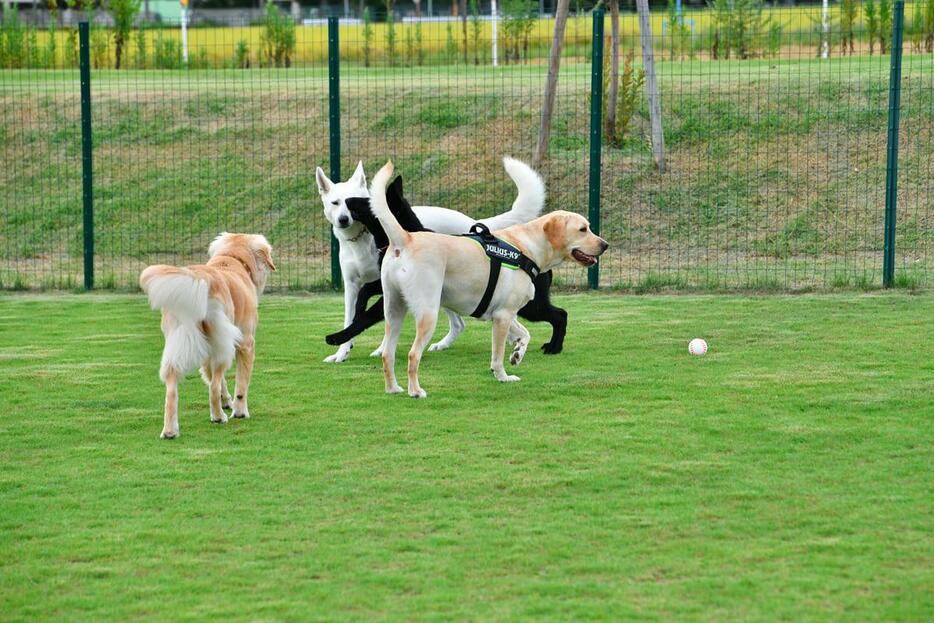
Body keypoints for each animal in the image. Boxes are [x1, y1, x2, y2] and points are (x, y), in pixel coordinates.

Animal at [139, 233, 276, 438]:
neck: (232, 259)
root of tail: (200, 278)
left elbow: (218, 380)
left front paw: (227, 401)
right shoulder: (246, 343)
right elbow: (240, 385)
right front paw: (239, 411)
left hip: (182, 343)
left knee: (172, 390)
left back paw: (170, 431)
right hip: (221, 345)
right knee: (213, 387)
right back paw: (218, 417)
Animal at [320, 157, 552, 366]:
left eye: (366, 200)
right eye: (336, 202)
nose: (347, 207)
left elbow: (364, 318)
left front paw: (339, 337)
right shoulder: (362, 284)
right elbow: (359, 303)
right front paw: (343, 348)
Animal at [370, 162, 612, 400]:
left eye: (588, 227)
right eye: (583, 229)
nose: (605, 245)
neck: (527, 246)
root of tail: (405, 238)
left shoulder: (504, 312)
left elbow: (525, 334)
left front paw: (517, 354)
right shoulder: (503, 316)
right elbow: (497, 355)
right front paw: (503, 376)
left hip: (394, 311)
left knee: (388, 354)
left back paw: (393, 388)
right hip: (428, 312)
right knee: (413, 355)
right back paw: (415, 391)